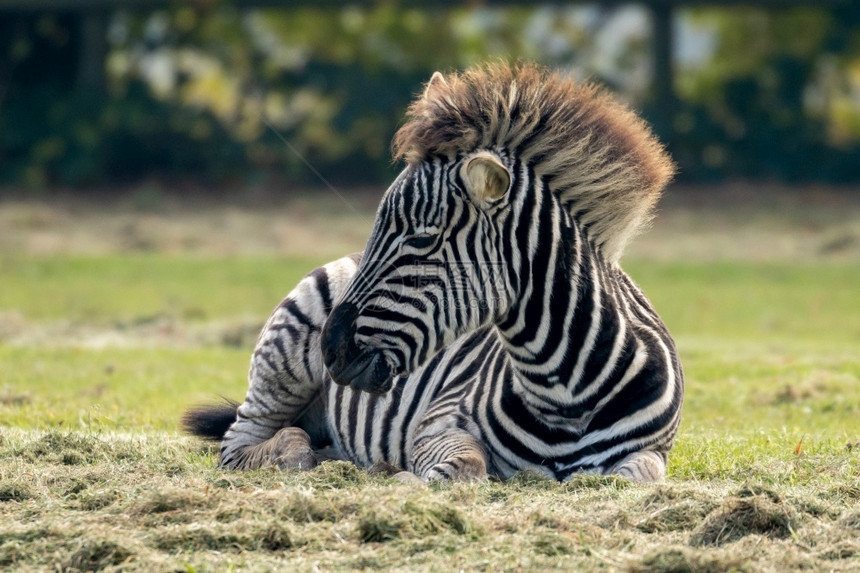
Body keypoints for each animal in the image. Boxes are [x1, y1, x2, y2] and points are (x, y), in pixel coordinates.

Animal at [185, 62, 680, 482]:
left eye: (422, 240)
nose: (330, 349)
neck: (565, 396)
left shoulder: (653, 451)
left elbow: (636, 478)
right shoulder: (437, 423)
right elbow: (464, 466)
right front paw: (402, 477)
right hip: (281, 366)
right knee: (245, 444)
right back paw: (300, 451)